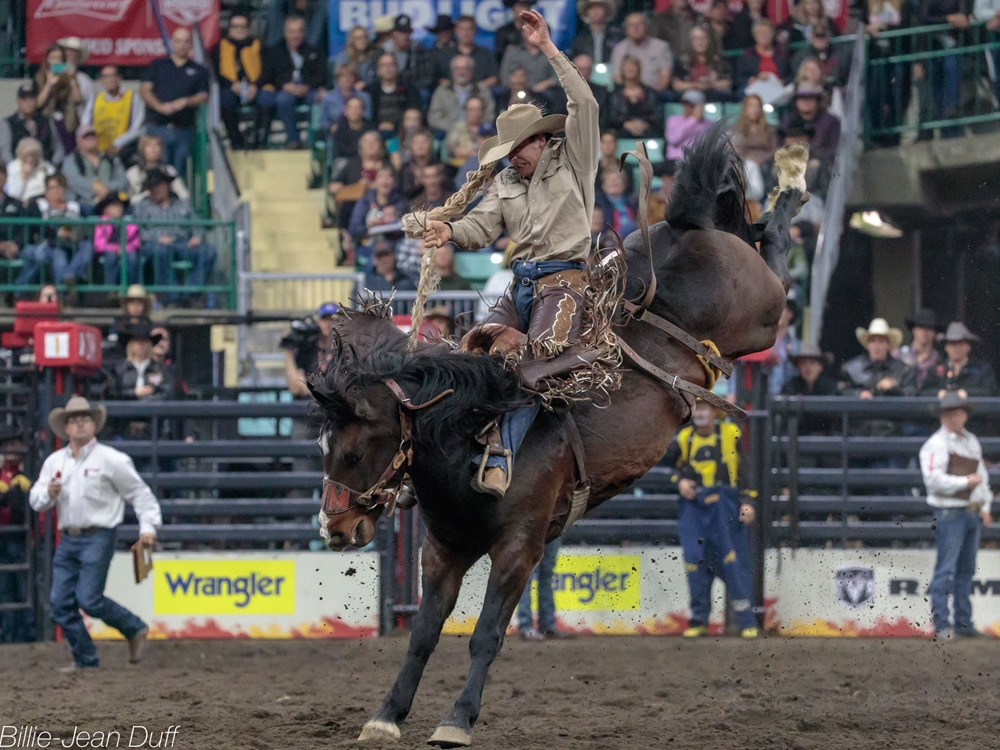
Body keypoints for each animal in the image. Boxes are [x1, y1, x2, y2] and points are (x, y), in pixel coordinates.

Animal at [312, 126, 804, 748]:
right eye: (324, 449)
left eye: (355, 451)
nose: (335, 528)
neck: (469, 437)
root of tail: (681, 227)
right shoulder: (443, 550)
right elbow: (423, 634)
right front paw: (386, 715)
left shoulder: (519, 549)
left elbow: (486, 635)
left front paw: (456, 721)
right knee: (747, 228)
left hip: (761, 314)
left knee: (778, 253)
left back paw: (793, 183)